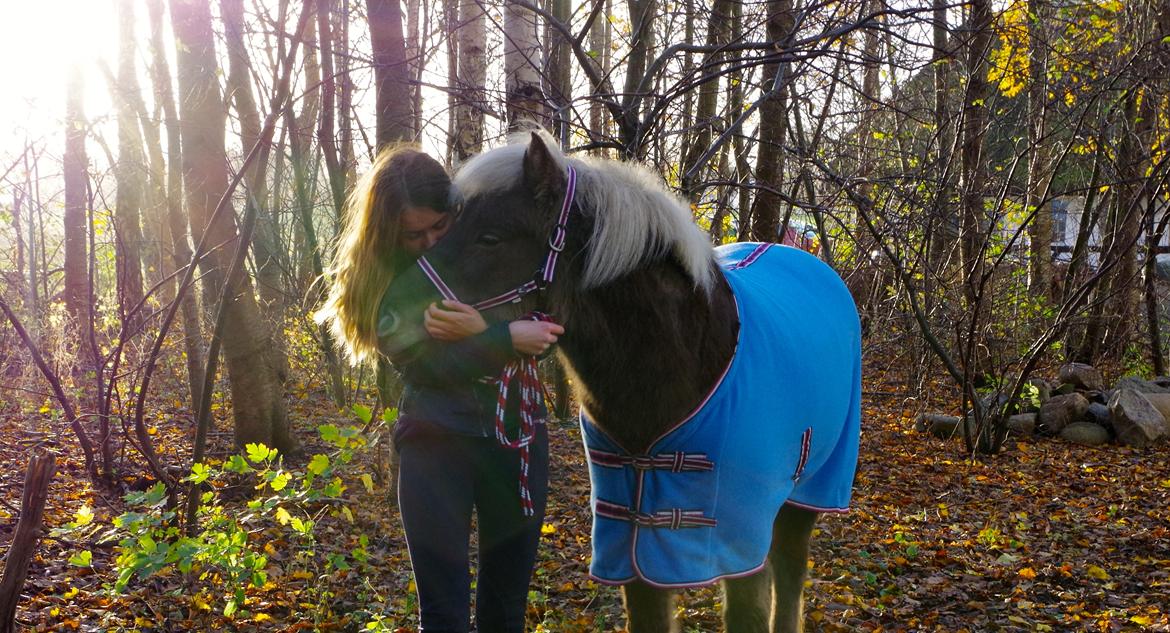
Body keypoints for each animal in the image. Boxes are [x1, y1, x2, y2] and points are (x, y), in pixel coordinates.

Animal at [383, 131, 861, 627]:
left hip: (808, 491)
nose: (387, 318)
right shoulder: (632, 545)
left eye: (490, 237)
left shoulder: (736, 540)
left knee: (789, 572)